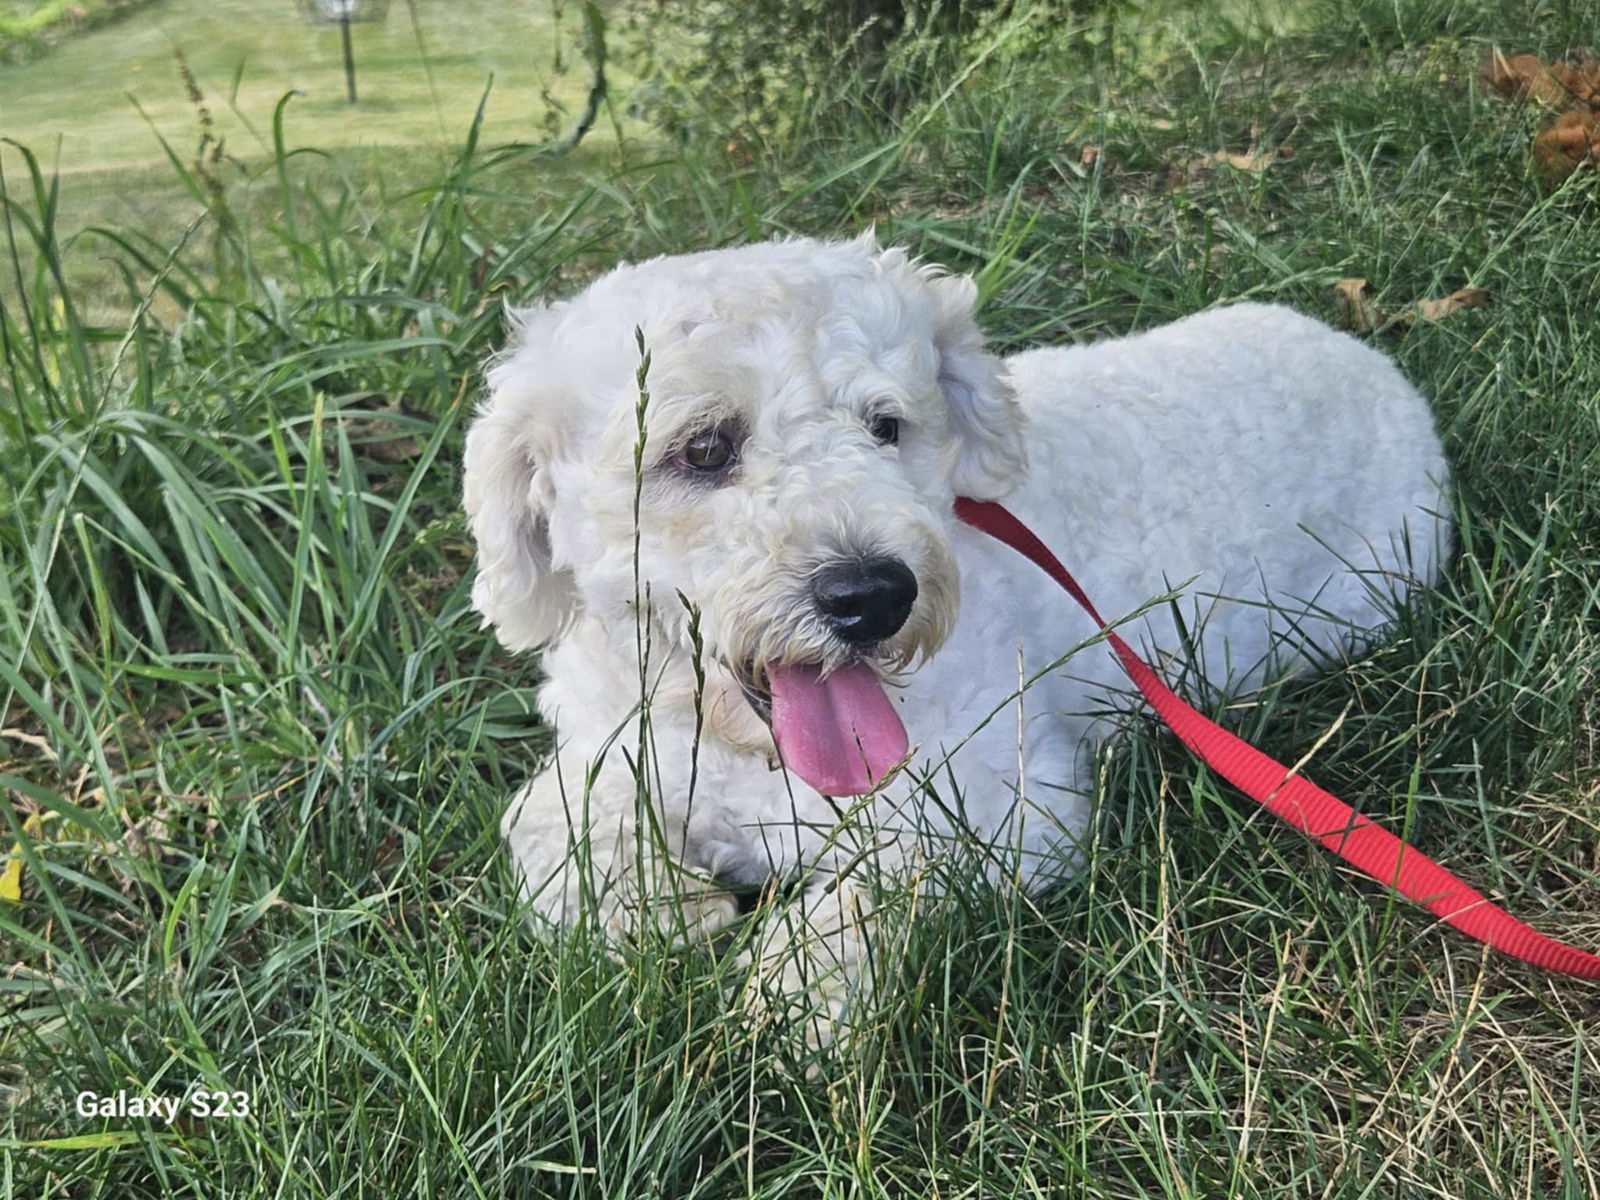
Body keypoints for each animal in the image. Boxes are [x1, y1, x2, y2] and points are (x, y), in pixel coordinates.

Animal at [464, 235, 1452, 1036]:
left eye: (886, 426)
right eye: (703, 448)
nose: (874, 597)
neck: (748, 751)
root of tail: (1376, 363)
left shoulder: (1009, 806)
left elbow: (882, 882)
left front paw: (793, 1003)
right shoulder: (619, 754)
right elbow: (541, 822)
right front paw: (660, 911)